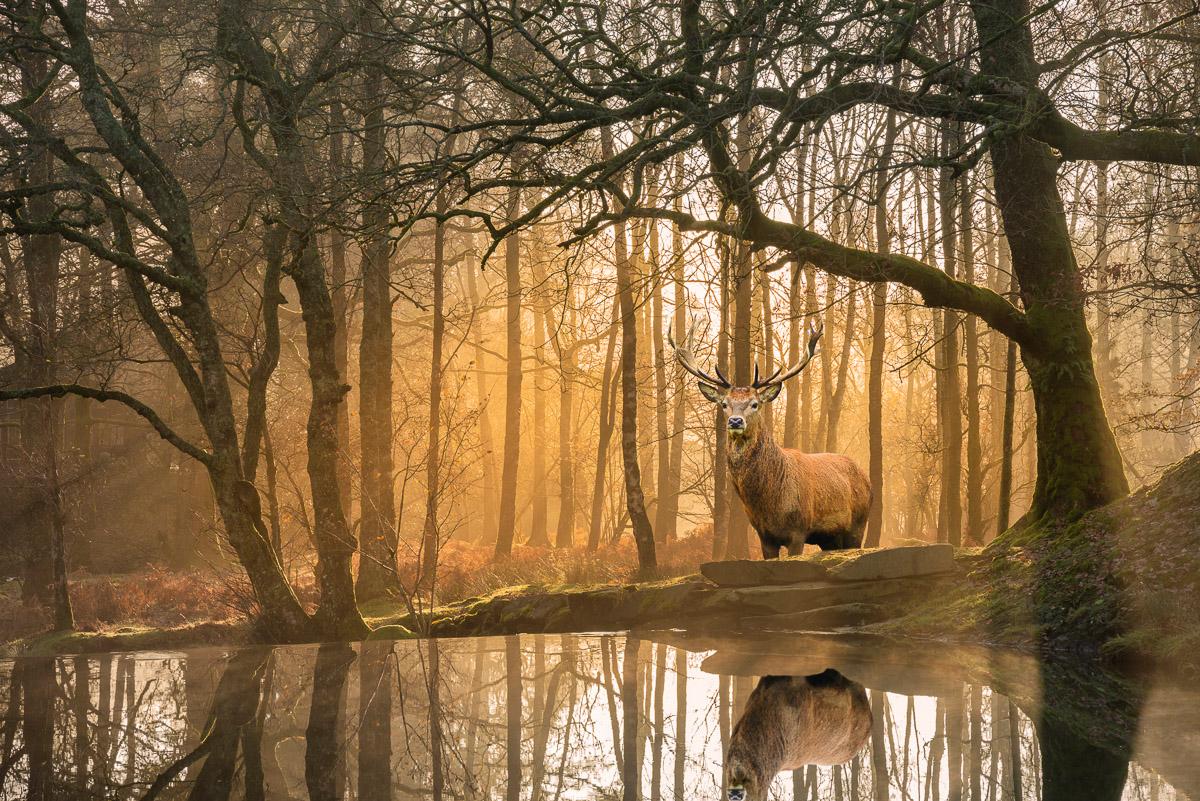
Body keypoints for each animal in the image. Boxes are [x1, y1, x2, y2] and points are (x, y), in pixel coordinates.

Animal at [670, 321, 871, 557]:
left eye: (754, 403)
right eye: (725, 404)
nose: (735, 421)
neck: (770, 503)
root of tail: (866, 478)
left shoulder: (798, 530)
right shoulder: (764, 536)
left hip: (858, 524)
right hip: (830, 538)